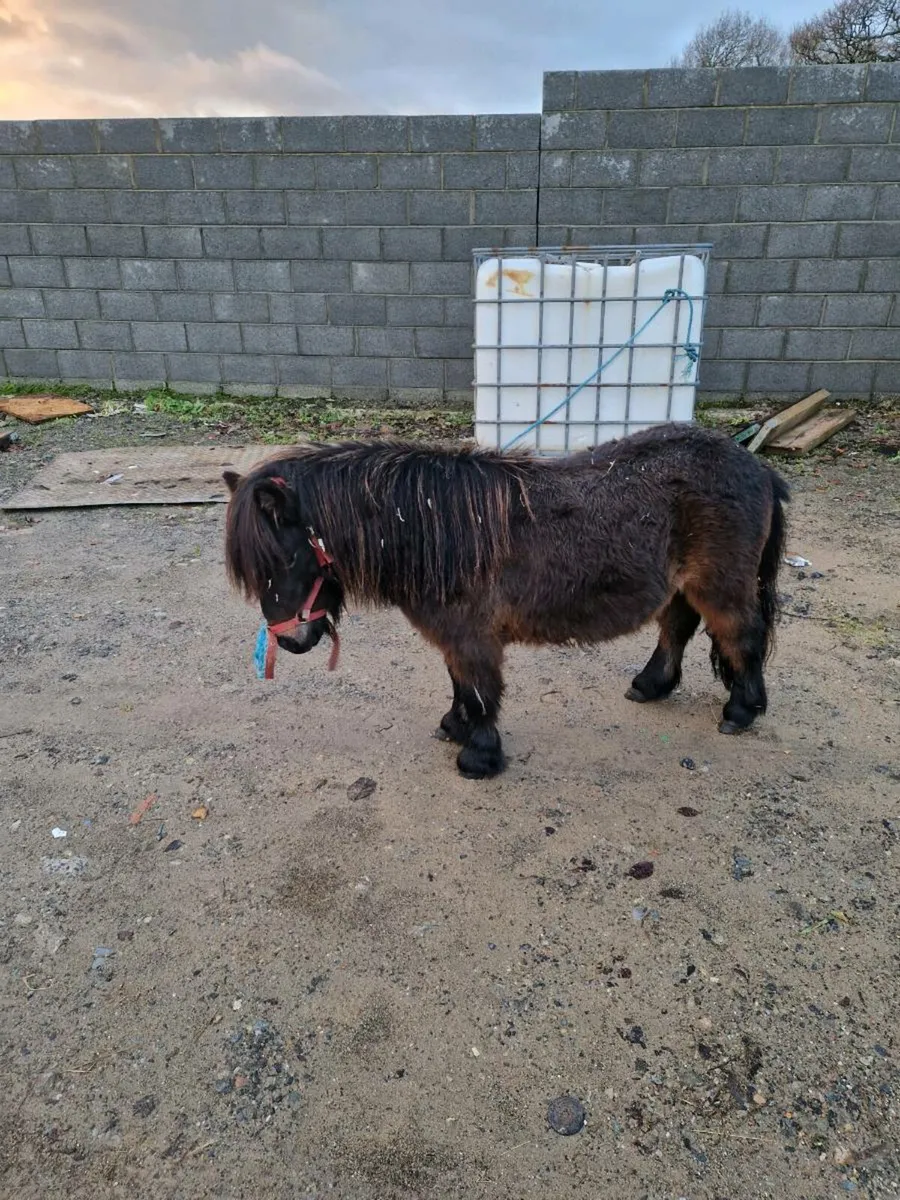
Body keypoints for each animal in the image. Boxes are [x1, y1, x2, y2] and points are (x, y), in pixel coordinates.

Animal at [222, 423, 790, 780]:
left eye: (284, 559)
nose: (291, 643)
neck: (431, 526)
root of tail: (757, 466)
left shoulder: (472, 637)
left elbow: (479, 691)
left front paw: (479, 756)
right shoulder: (456, 637)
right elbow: (459, 684)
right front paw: (455, 728)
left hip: (721, 585)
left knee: (742, 635)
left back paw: (742, 709)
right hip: (685, 585)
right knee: (678, 626)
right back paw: (652, 685)